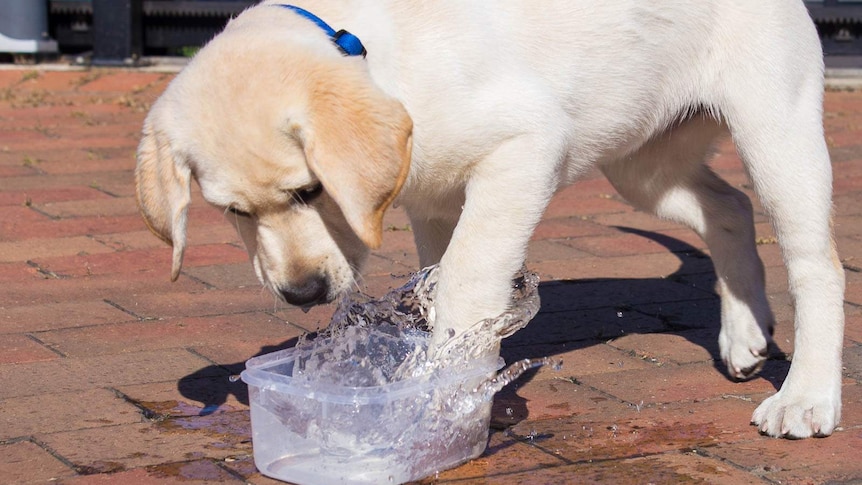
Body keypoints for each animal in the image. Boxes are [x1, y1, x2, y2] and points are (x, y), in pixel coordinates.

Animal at [135, 0, 844, 438]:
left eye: (312, 190)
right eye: (232, 212)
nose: (302, 293)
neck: (374, 55)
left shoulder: (525, 148)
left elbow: (468, 276)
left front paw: (440, 389)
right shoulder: (433, 203)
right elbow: (439, 284)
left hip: (774, 122)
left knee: (818, 265)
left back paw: (805, 397)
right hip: (643, 160)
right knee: (728, 206)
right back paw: (745, 335)